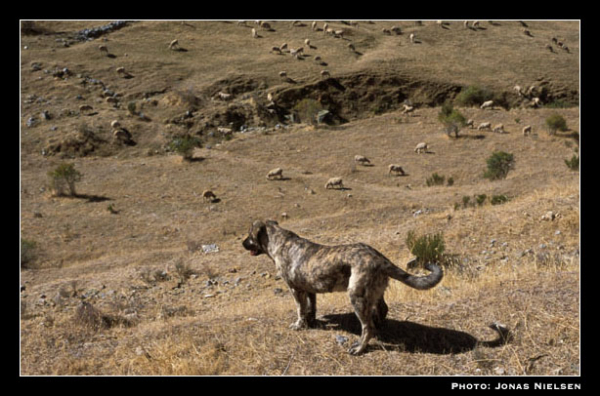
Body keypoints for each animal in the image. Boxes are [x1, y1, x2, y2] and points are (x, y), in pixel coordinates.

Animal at [241, 220, 442, 356]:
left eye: (249, 235)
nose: (242, 243)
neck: (280, 241)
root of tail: (380, 258)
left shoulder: (295, 290)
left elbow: (300, 310)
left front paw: (299, 325)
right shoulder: (310, 290)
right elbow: (311, 309)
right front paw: (311, 322)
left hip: (357, 296)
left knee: (367, 327)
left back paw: (360, 347)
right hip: (373, 293)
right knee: (382, 310)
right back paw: (379, 327)